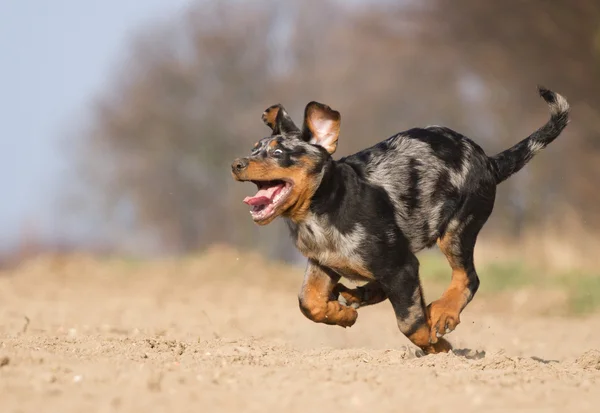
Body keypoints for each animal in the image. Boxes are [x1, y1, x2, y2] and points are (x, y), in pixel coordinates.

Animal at [232, 85, 568, 352]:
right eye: (253, 149)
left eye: (278, 153)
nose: (236, 164)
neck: (323, 209)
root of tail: (489, 161)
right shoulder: (324, 263)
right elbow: (308, 303)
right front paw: (343, 315)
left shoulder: (401, 265)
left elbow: (412, 323)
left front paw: (440, 347)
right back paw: (359, 295)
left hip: (457, 229)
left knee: (468, 277)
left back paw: (443, 312)